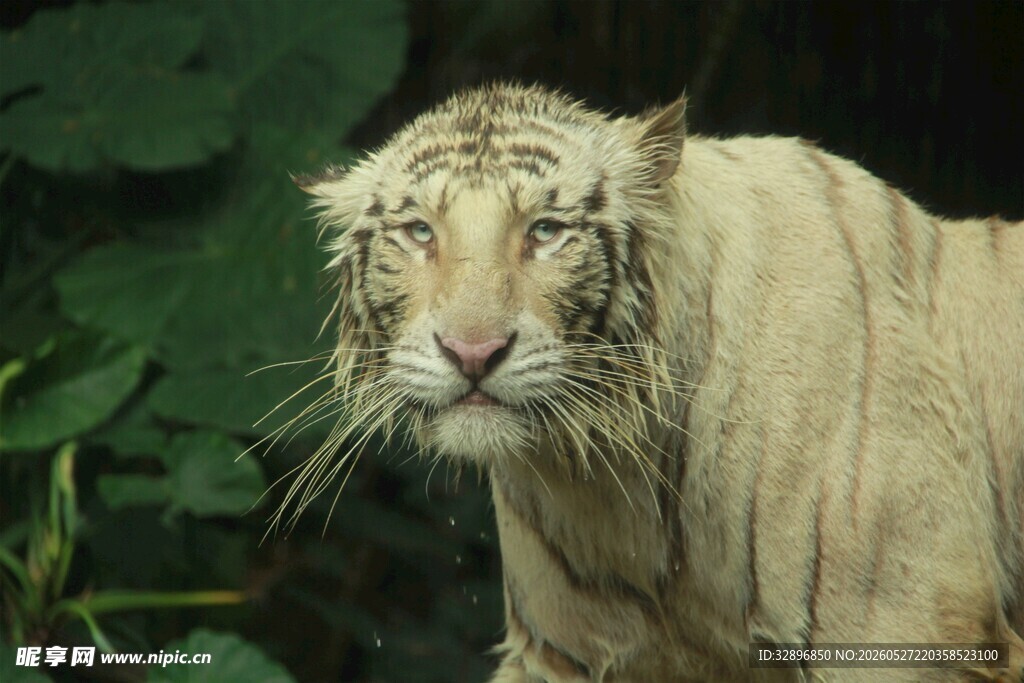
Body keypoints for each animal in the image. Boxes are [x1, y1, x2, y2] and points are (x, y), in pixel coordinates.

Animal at [288, 83, 1024, 681]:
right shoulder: (570, 651)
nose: (473, 352)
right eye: (420, 232)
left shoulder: (905, 627)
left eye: (545, 231)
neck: (617, 480)